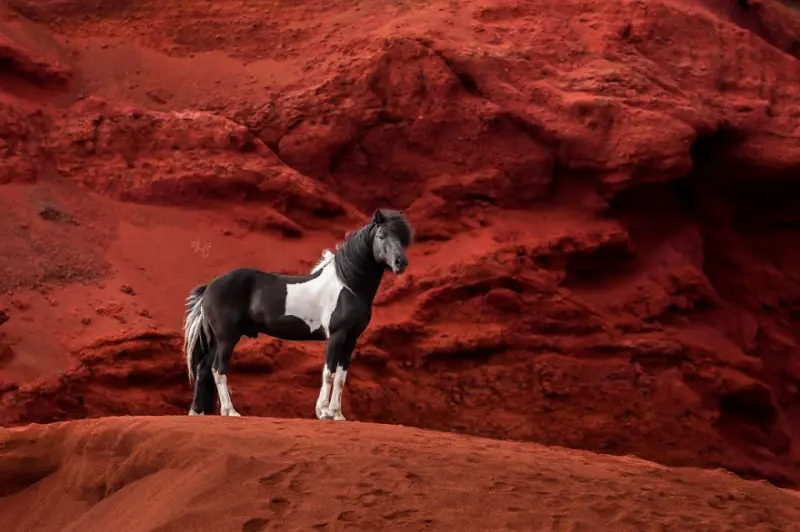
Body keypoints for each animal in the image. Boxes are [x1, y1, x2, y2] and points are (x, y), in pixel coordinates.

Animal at [181, 209, 414, 420]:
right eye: (381, 236)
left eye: (402, 238)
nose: (400, 263)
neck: (348, 286)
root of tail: (210, 286)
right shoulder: (336, 336)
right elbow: (329, 373)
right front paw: (324, 412)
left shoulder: (351, 339)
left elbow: (341, 377)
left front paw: (338, 414)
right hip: (227, 338)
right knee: (218, 370)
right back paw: (230, 411)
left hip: (217, 339)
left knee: (204, 368)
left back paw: (197, 412)